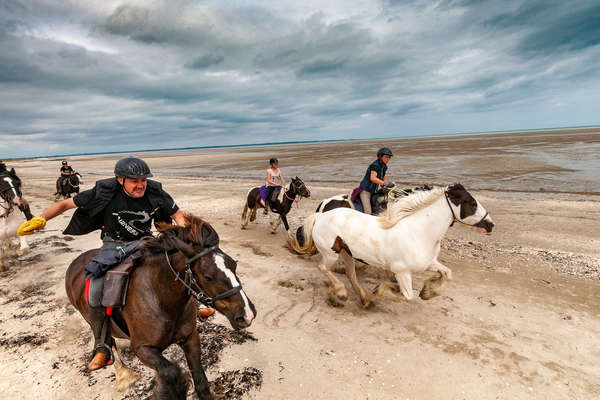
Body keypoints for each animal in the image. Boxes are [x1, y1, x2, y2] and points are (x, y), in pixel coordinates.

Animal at [65, 216, 255, 400]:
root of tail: (75, 264)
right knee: (107, 340)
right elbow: (172, 372)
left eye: (234, 265)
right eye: (208, 276)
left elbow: (200, 379)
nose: (247, 315)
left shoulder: (190, 337)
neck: (162, 299)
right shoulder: (143, 349)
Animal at [290, 183, 492, 308]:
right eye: (472, 203)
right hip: (331, 254)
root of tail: (321, 215)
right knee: (323, 268)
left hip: (347, 253)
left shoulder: (429, 263)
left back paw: (362, 298)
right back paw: (341, 293)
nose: (491, 224)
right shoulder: (402, 272)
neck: (419, 232)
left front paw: (428, 291)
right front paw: (377, 291)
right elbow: (407, 296)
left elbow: (447, 274)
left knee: (351, 274)